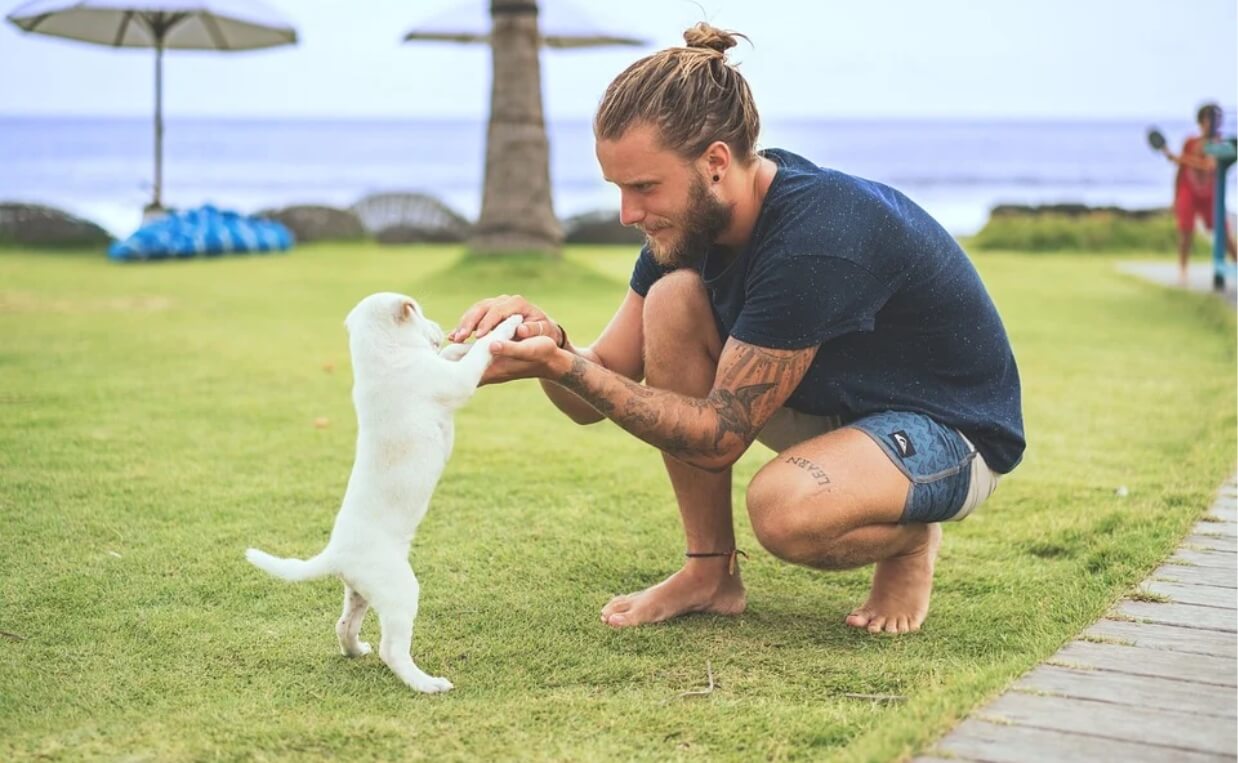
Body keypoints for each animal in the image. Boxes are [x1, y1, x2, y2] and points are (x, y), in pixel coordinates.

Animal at [246, 291, 522, 693]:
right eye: (420, 312)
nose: (443, 329)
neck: (382, 357)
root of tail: (335, 554)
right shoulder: (453, 382)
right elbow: (479, 354)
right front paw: (506, 326)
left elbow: (452, 355)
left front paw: (463, 342)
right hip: (400, 591)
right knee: (392, 649)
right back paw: (427, 684)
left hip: (360, 592)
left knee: (343, 624)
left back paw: (355, 650)